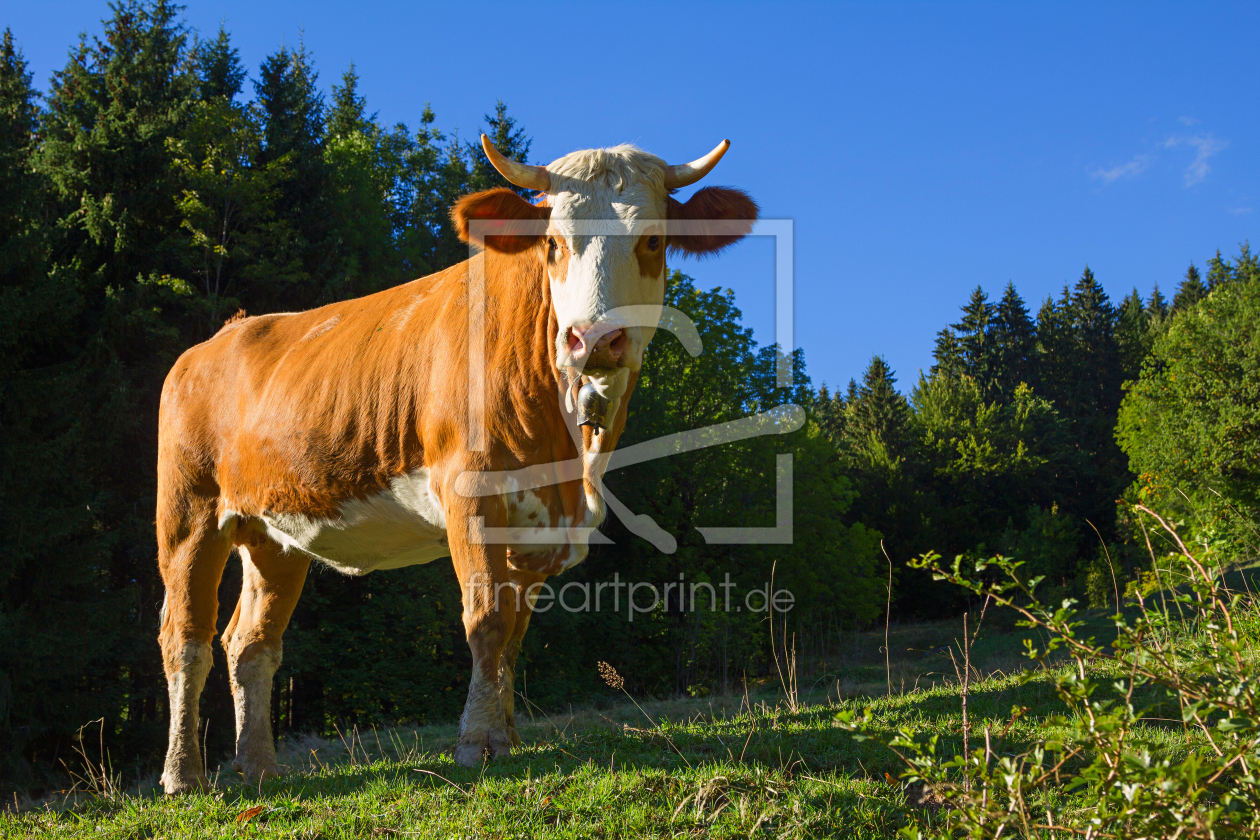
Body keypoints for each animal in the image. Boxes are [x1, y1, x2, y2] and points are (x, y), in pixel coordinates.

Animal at [155, 135, 758, 794]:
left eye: (652, 240)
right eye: (553, 242)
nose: (594, 339)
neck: (572, 457)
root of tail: (219, 337)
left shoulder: (536, 524)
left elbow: (514, 633)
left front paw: (509, 736)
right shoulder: (471, 492)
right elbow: (486, 618)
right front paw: (478, 742)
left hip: (274, 532)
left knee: (251, 643)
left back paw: (260, 768)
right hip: (189, 515)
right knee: (186, 637)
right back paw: (183, 774)